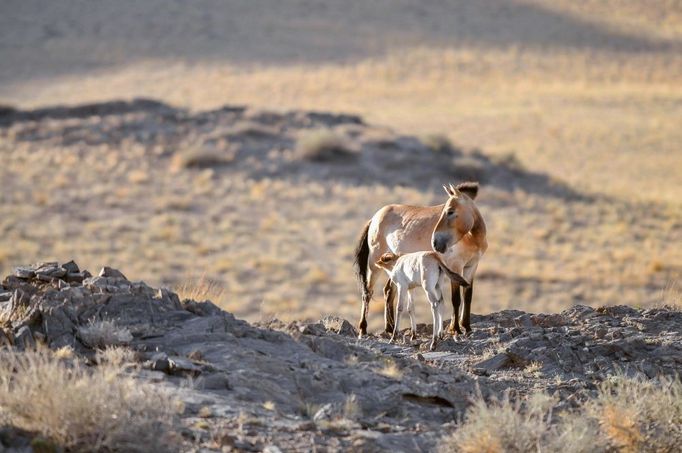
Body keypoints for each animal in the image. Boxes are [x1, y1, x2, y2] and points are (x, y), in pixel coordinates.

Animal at [354, 182, 486, 338]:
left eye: (450, 211)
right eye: (445, 210)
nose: (435, 243)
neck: (471, 238)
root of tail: (374, 218)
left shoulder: (471, 267)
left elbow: (468, 296)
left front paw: (467, 327)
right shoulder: (456, 267)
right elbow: (456, 299)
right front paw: (456, 329)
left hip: (393, 266)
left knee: (388, 291)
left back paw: (390, 329)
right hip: (374, 266)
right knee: (367, 292)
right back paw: (363, 329)